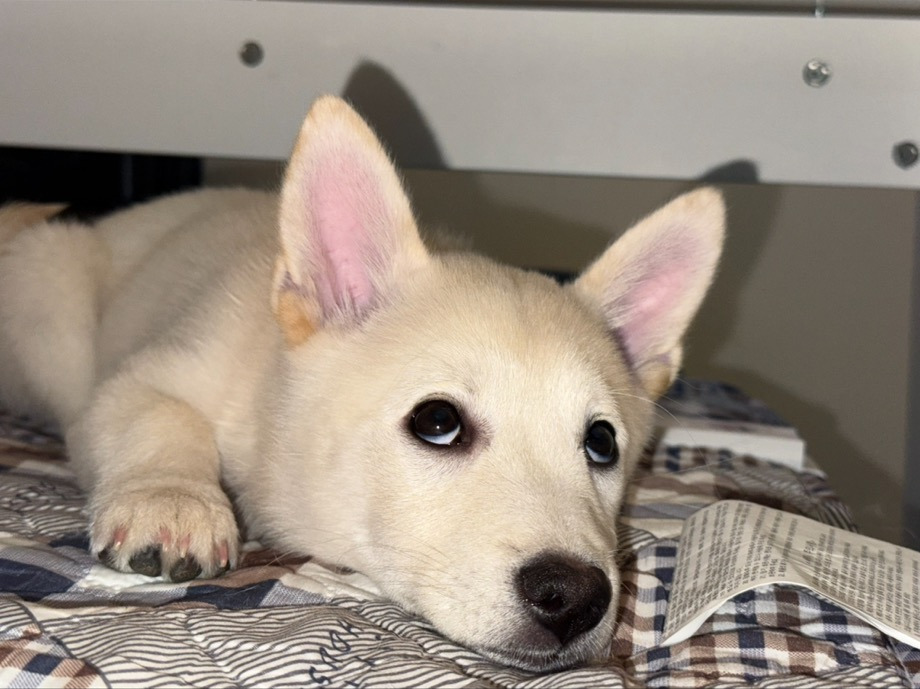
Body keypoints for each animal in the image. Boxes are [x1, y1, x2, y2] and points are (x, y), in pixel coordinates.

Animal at [0, 96, 724, 671]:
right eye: (438, 422)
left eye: (602, 443)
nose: (574, 598)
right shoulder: (150, 374)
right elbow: (158, 413)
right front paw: (172, 503)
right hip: (53, 303)